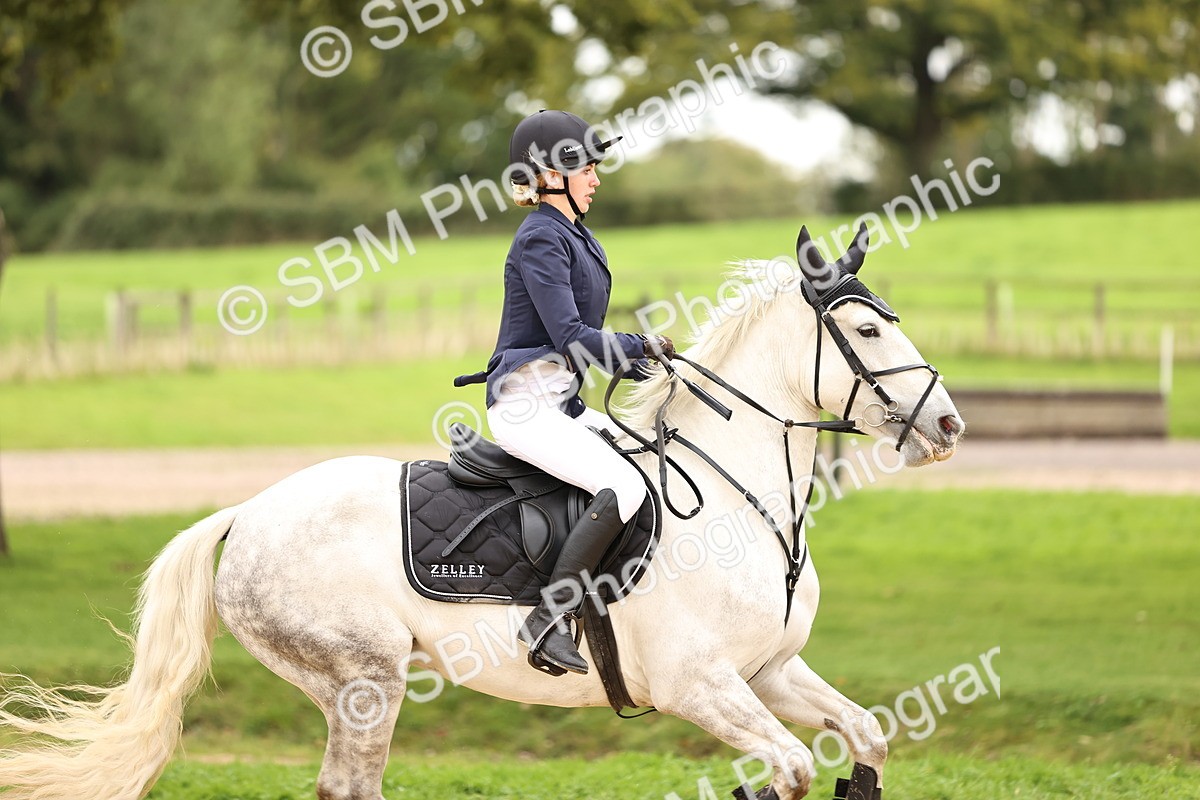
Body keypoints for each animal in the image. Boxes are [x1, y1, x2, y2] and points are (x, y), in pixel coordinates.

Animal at [0, 224, 964, 800]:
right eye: (868, 332)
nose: (949, 426)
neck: (739, 494)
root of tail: (246, 512)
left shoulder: (769, 673)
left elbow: (866, 740)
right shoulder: (702, 684)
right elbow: (792, 770)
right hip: (365, 679)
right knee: (348, 786)